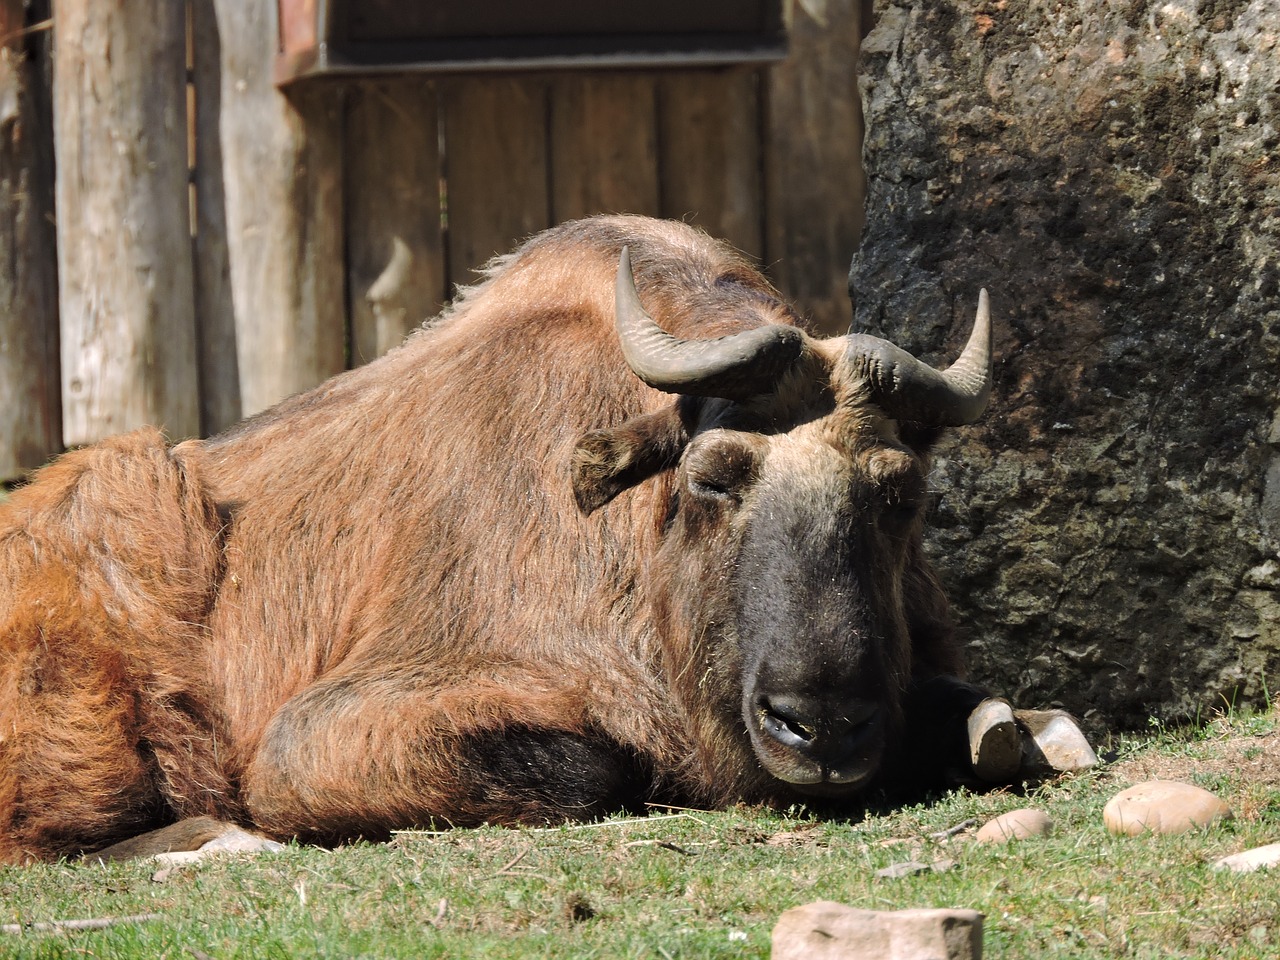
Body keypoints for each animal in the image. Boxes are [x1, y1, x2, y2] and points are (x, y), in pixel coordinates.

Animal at [0, 216, 1090, 865]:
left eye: (899, 493)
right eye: (712, 478)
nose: (818, 728)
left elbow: (1009, 718)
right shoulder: (315, 737)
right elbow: (595, 767)